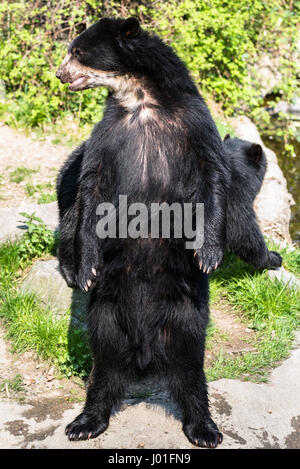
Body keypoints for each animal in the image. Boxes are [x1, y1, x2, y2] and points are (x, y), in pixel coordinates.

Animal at [55, 15, 230, 446]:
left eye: (78, 51)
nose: (60, 74)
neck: (140, 98)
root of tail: (145, 353)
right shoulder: (108, 135)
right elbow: (91, 187)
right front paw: (85, 268)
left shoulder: (192, 121)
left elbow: (213, 172)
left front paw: (209, 253)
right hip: (106, 314)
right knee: (103, 368)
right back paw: (86, 421)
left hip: (186, 313)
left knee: (191, 368)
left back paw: (204, 427)